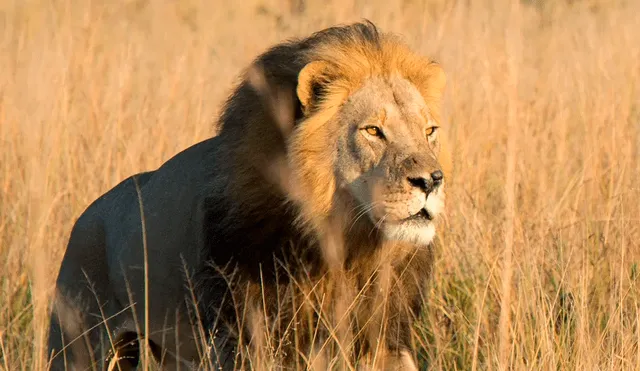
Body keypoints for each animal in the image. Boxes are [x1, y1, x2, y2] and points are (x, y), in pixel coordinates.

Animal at [47, 21, 450, 370]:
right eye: (372, 130)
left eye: (429, 130)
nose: (432, 181)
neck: (346, 243)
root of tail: (87, 216)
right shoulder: (248, 336)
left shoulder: (384, 333)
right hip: (78, 343)